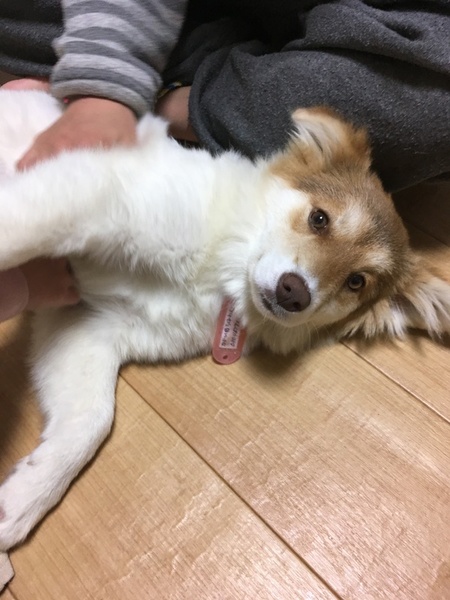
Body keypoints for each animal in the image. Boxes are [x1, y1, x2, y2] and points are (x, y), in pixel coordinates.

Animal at [0, 90, 449, 553]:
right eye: (319, 218)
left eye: (356, 282)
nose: (294, 293)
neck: (219, 270)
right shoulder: (95, 193)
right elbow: (16, 228)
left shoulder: (87, 325)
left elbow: (90, 422)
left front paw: (22, 500)